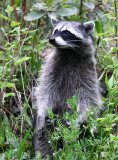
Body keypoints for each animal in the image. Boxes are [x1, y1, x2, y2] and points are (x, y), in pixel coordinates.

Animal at [33, 19, 102, 158]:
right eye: (55, 30)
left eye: (66, 32)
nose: (51, 39)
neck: (69, 52)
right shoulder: (51, 69)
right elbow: (46, 92)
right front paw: (42, 112)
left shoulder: (88, 73)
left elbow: (88, 98)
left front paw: (78, 119)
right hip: (50, 128)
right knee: (43, 143)